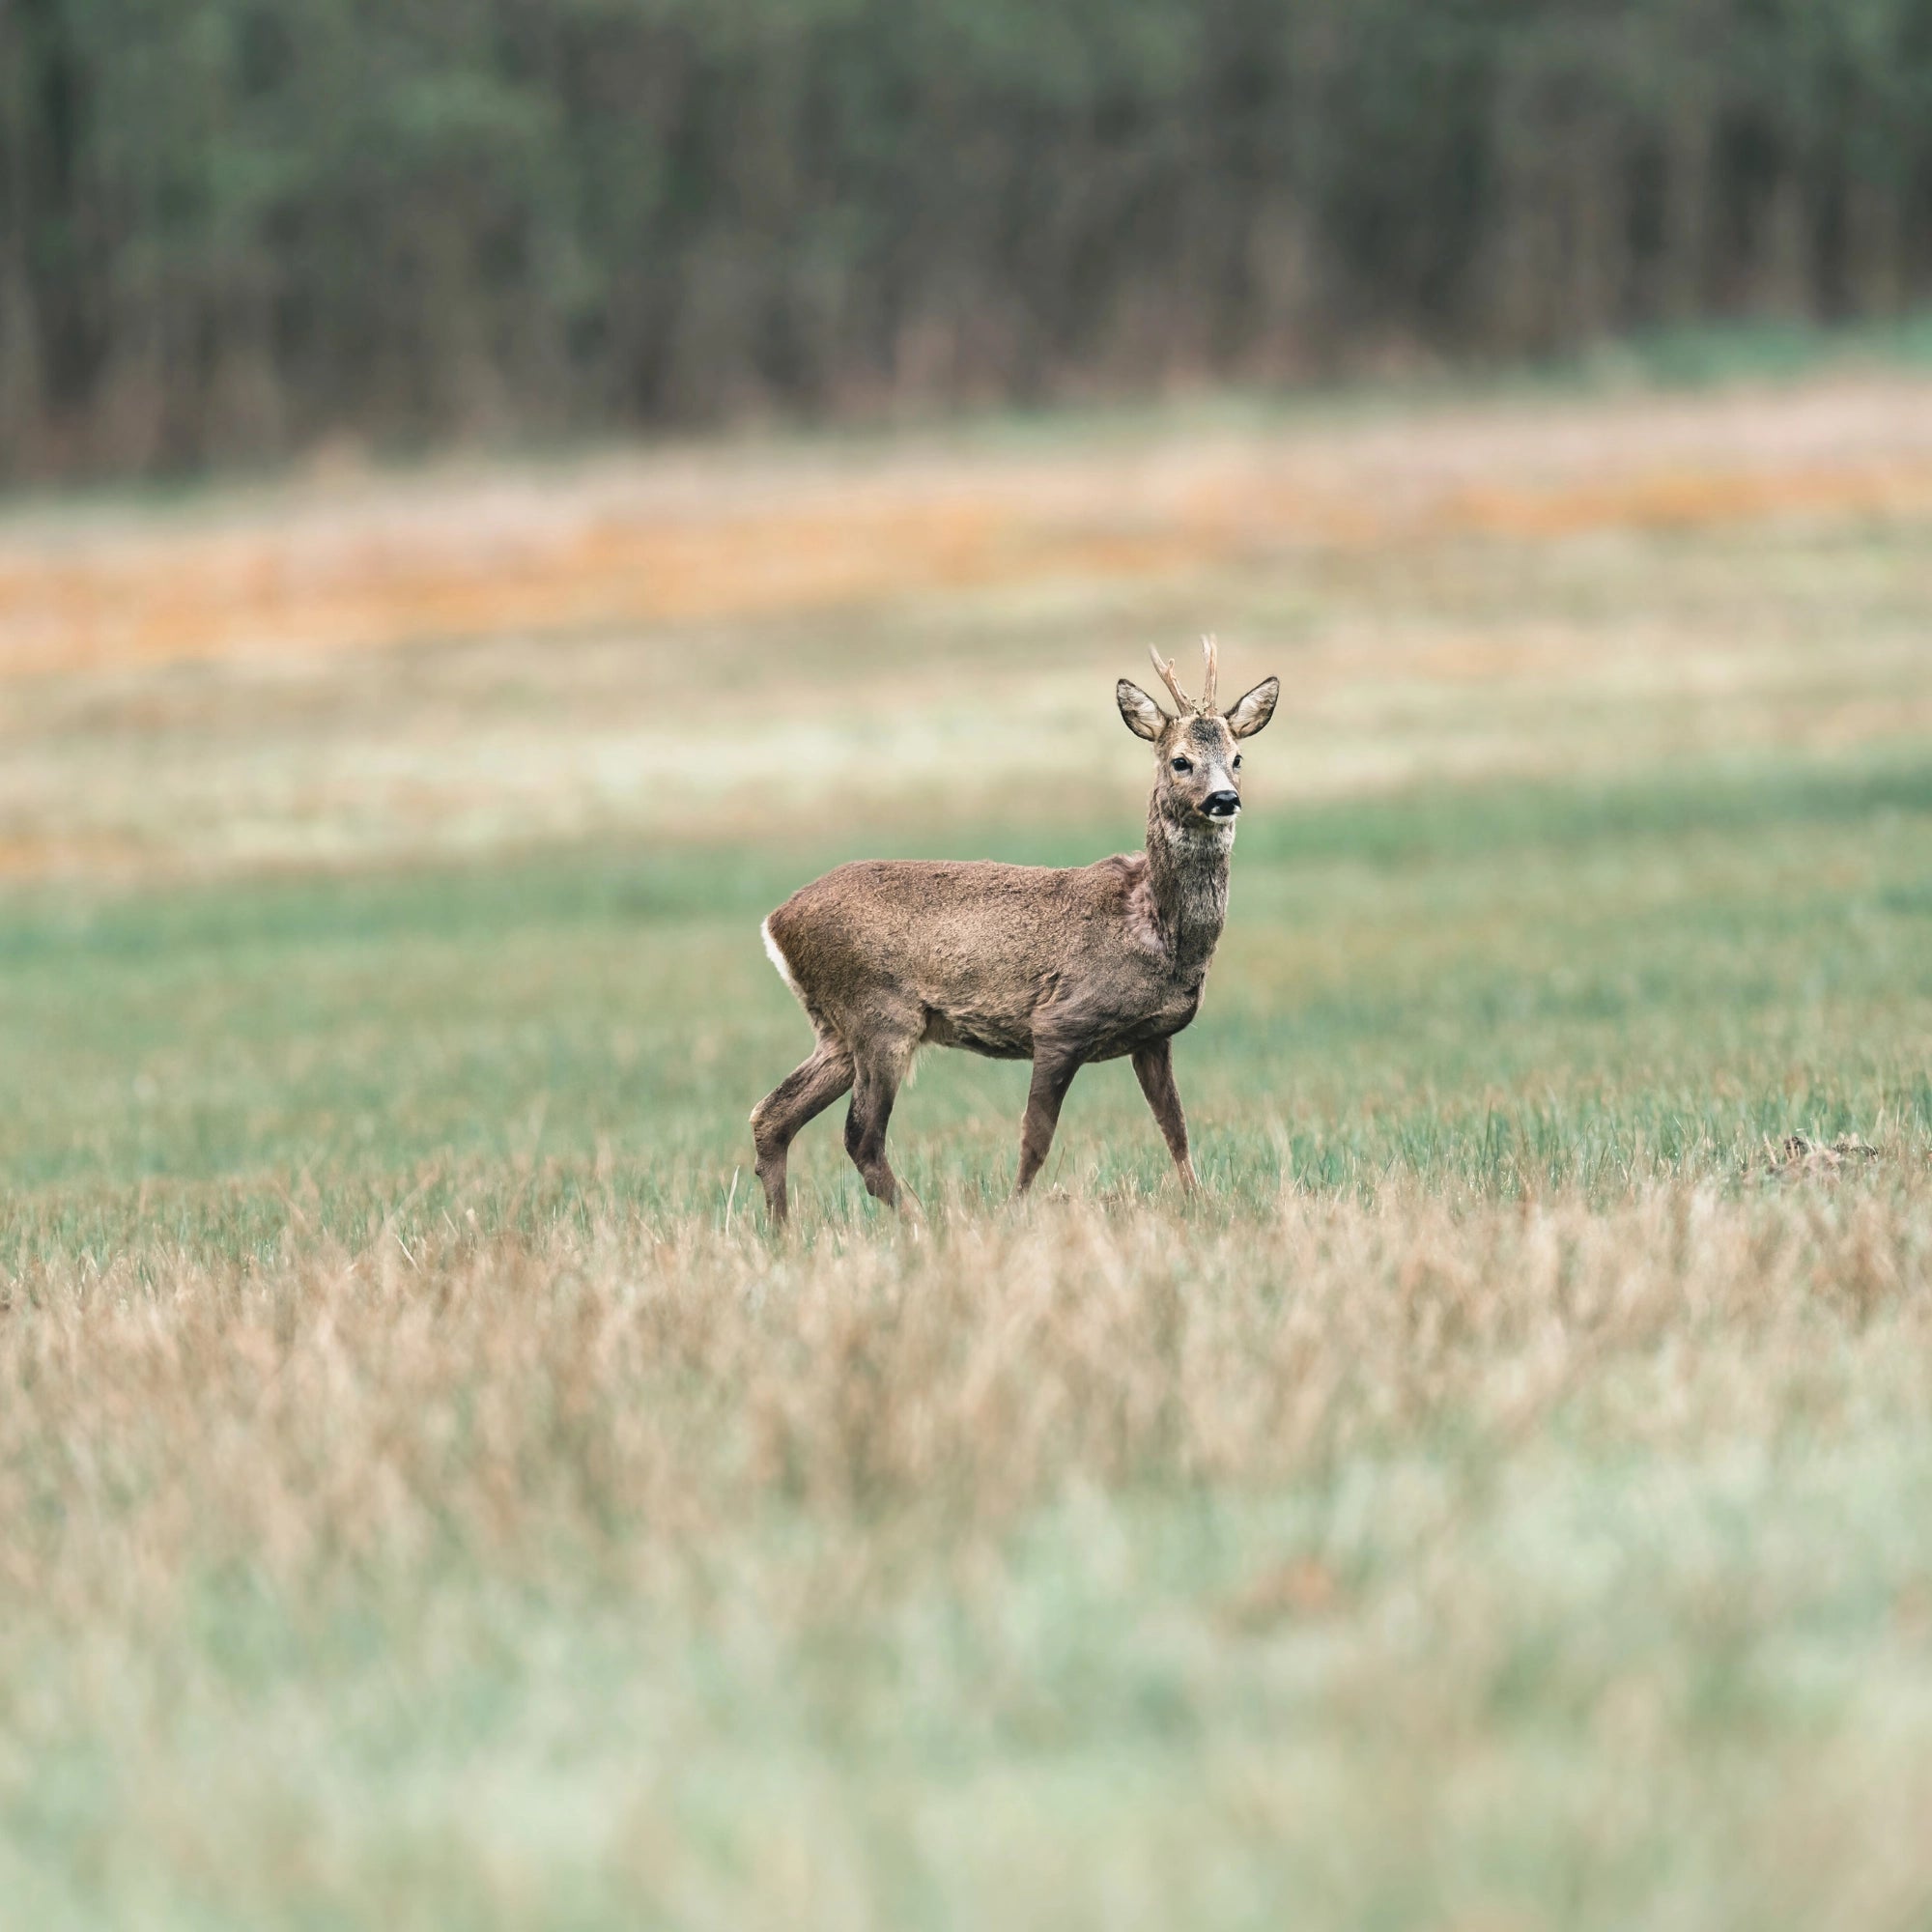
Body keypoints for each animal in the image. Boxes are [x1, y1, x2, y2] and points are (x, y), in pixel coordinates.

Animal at [753, 638, 1283, 1221]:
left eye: (1237, 757)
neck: (1153, 927)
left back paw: (782, 1229)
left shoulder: (1152, 1036)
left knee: (772, 1115)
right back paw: (921, 1220)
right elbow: (1036, 1137)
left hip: (836, 1029)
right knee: (860, 1135)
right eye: (1180, 760)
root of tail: (775, 922)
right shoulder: (1059, 1023)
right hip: (879, 1014)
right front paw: (1015, 1211)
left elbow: (1176, 1130)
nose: (1224, 799)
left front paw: (1202, 1205)